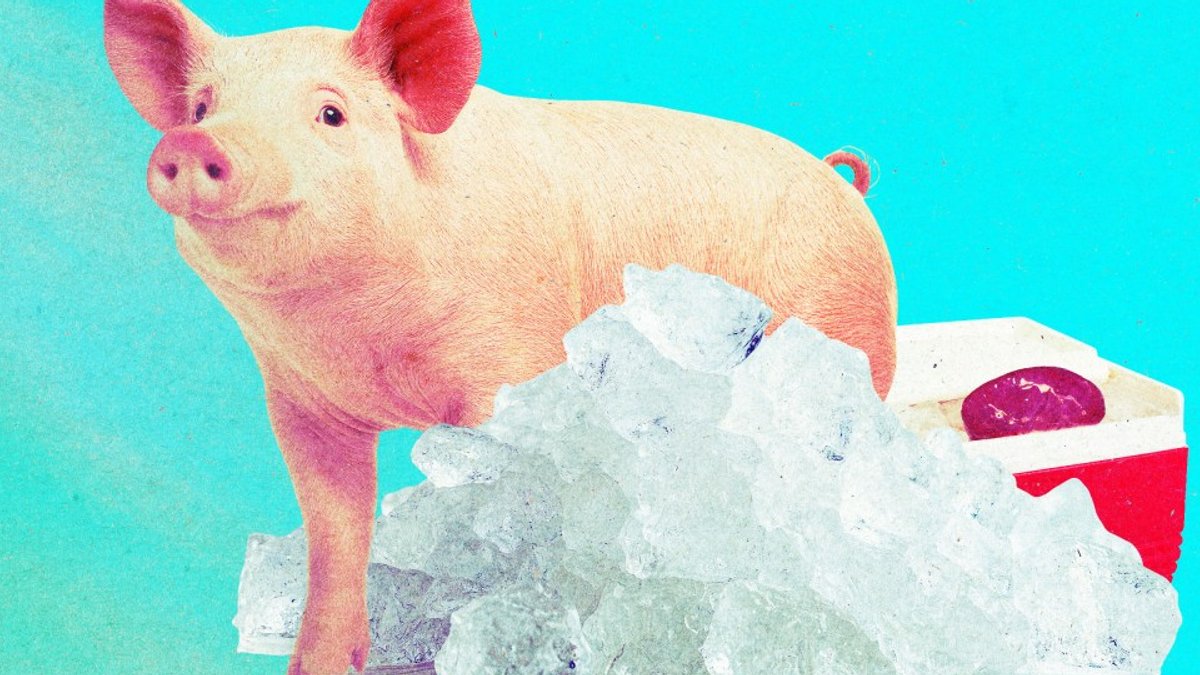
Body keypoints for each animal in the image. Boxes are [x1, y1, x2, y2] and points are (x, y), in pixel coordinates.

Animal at [104, 0, 897, 672]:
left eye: (330, 113)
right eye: (203, 105)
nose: (192, 142)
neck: (370, 347)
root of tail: (841, 180)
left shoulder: (510, 366)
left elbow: (500, 503)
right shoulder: (301, 401)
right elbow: (335, 531)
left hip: (850, 331)